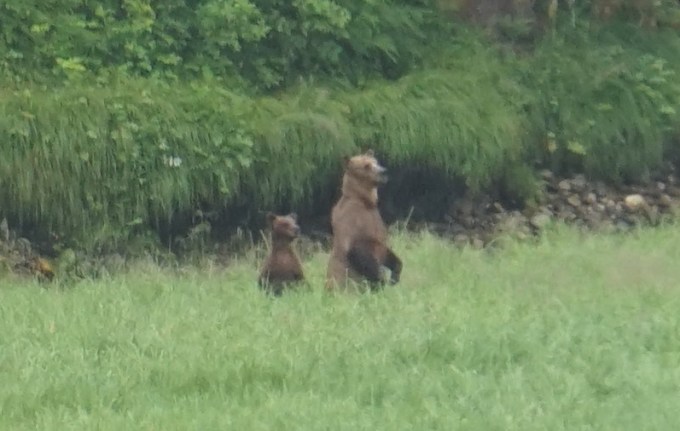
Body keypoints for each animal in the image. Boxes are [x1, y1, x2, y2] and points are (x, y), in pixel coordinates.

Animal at [325, 150, 402, 291]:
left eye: (376, 162)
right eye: (366, 166)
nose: (383, 171)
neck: (364, 201)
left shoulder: (376, 225)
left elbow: (386, 250)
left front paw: (394, 276)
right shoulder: (355, 223)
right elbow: (359, 252)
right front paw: (381, 282)